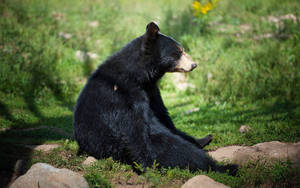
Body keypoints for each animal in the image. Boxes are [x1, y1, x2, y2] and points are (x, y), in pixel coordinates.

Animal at [74, 22, 238, 175]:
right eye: (179, 51)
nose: (194, 64)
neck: (138, 75)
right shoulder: (122, 95)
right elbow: (137, 132)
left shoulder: (151, 91)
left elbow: (163, 116)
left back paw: (205, 139)